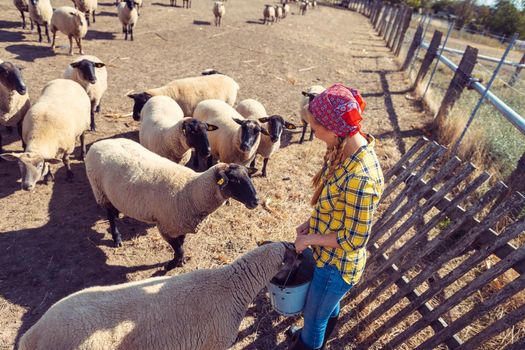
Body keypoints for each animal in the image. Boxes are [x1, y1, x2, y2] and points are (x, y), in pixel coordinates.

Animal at [84, 138, 260, 270]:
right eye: (234, 180)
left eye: (248, 175)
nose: (256, 201)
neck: (191, 191)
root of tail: (100, 143)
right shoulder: (166, 227)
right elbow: (178, 248)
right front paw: (173, 264)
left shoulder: (180, 224)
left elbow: (181, 244)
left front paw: (179, 261)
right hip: (100, 191)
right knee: (110, 216)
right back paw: (117, 238)